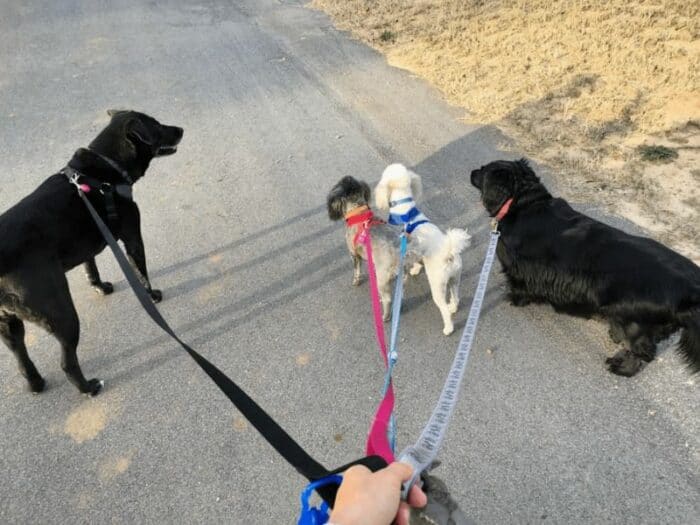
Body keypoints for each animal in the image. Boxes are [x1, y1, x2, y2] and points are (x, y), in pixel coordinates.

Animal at [0, 111, 183, 398]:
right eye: (156, 125)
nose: (181, 129)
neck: (107, 166)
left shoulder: (89, 240)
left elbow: (90, 266)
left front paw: (100, 286)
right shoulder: (132, 235)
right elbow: (140, 269)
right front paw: (152, 295)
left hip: (8, 325)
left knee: (21, 356)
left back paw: (36, 384)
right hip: (62, 315)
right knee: (67, 362)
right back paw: (88, 387)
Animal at [372, 164, 470, 334]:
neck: (405, 209)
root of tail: (449, 253)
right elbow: (416, 261)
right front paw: (416, 269)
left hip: (438, 285)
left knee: (443, 308)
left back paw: (448, 328)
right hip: (454, 278)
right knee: (456, 297)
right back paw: (453, 307)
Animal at [470, 158, 700, 374]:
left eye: (483, 170)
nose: (472, 171)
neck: (524, 203)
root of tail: (691, 288)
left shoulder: (517, 267)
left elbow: (517, 286)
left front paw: (514, 299)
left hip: (634, 323)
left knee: (643, 351)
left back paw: (622, 367)